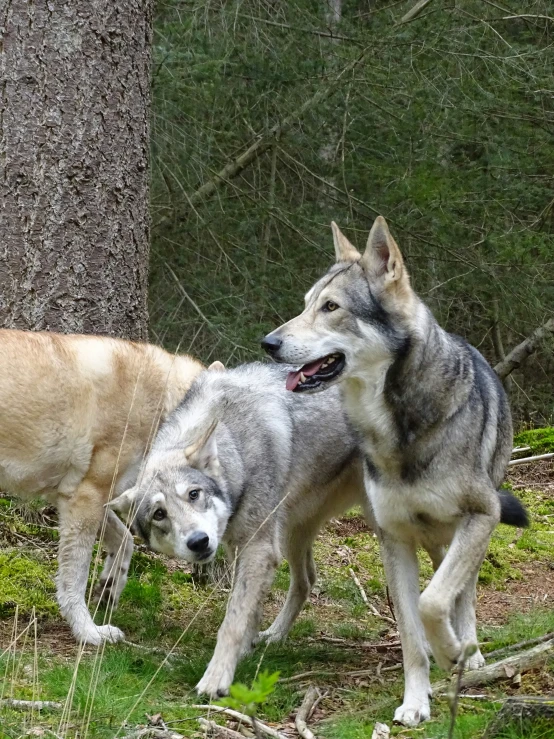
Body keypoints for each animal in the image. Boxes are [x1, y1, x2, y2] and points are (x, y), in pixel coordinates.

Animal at [0, 332, 203, 644]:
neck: (158, 400)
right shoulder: (86, 497)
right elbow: (74, 579)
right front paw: (88, 632)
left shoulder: (89, 498)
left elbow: (125, 542)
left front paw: (109, 589)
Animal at [108, 364, 366, 700]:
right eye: (159, 514)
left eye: (193, 494)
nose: (198, 541)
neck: (234, 444)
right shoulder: (242, 547)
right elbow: (247, 611)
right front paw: (245, 650)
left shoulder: (257, 548)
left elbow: (232, 621)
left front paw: (217, 678)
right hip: (290, 534)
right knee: (307, 580)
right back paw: (275, 635)